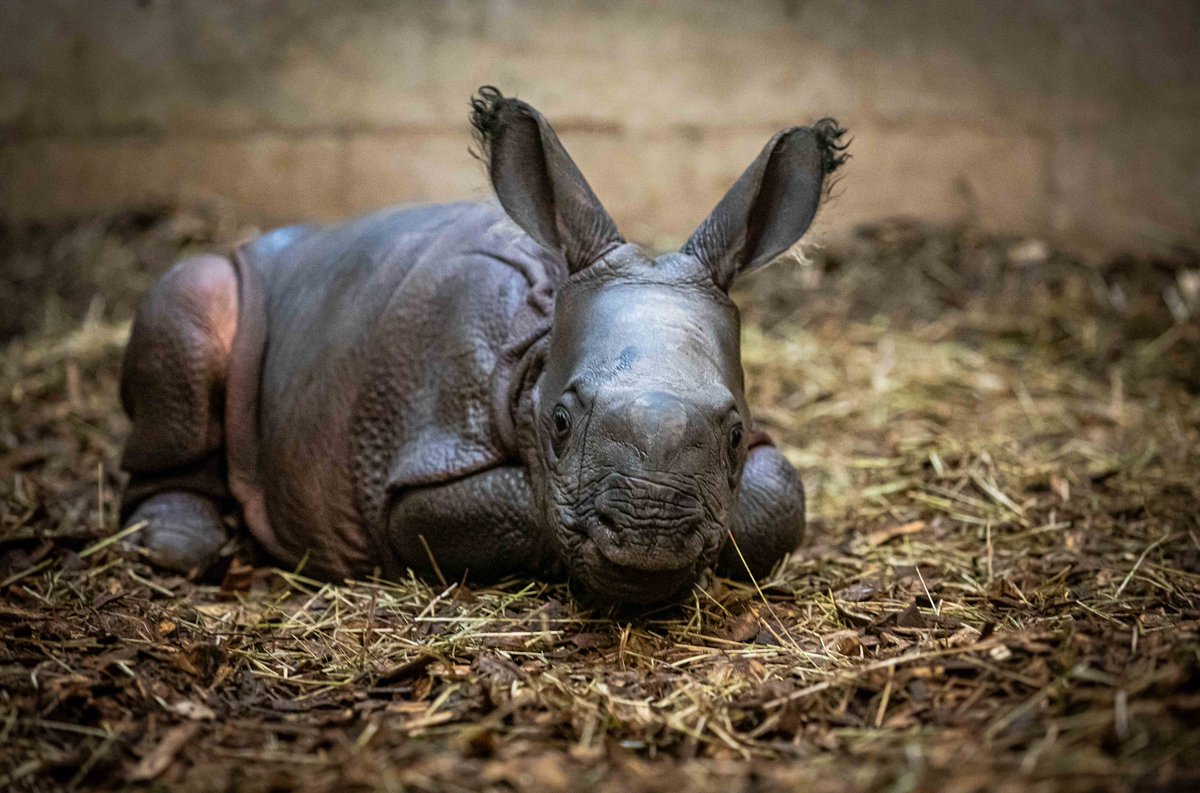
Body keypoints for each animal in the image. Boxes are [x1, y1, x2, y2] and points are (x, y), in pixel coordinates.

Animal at [118, 87, 847, 603]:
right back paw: (176, 547)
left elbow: (778, 499)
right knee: (187, 314)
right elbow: (514, 507)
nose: (648, 539)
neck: (538, 353)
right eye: (559, 423)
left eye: (734, 435)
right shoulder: (425, 449)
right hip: (225, 283)